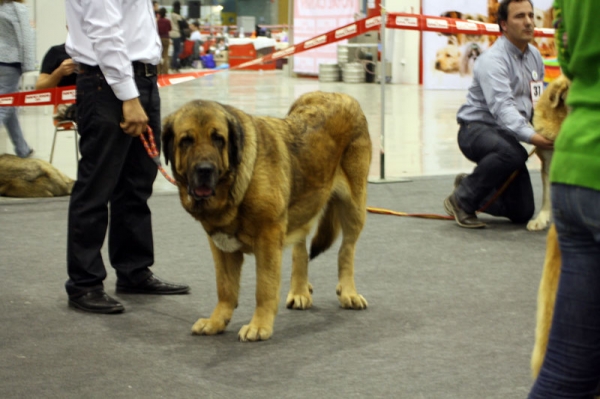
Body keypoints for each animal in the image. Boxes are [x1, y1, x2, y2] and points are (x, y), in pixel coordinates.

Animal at [162, 92, 372, 342]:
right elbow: (225, 288)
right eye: (186, 141)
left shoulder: (268, 240)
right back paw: (300, 291)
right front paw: (215, 321)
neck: (236, 182)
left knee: (346, 250)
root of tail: (339, 95)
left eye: (218, 139)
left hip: (354, 206)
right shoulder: (221, 246)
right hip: (304, 202)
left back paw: (349, 292)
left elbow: (264, 287)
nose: (205, 169)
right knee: (301, 250)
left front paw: (259, 326)